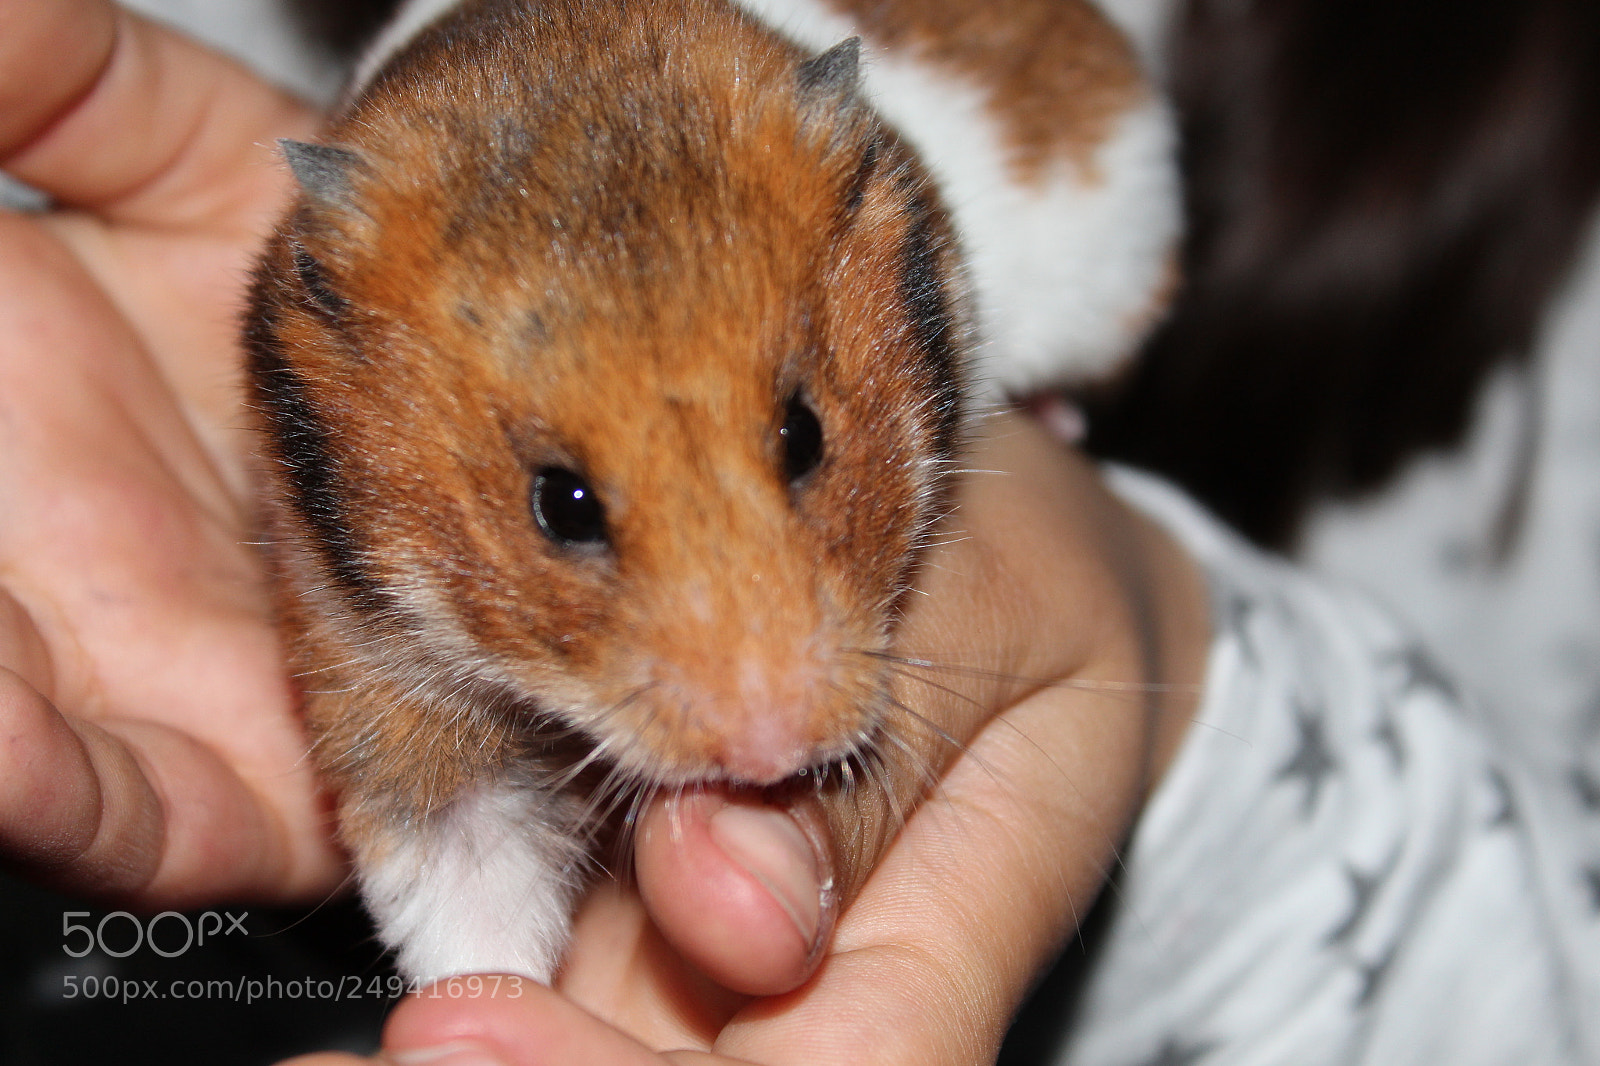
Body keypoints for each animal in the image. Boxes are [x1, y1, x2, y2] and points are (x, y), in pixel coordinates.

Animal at [245, 0, 1177, 983]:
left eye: (805, 435)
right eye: (559, 503)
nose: (771, 757)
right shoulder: (370, 658)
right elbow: (465, 891)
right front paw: (488, 996)